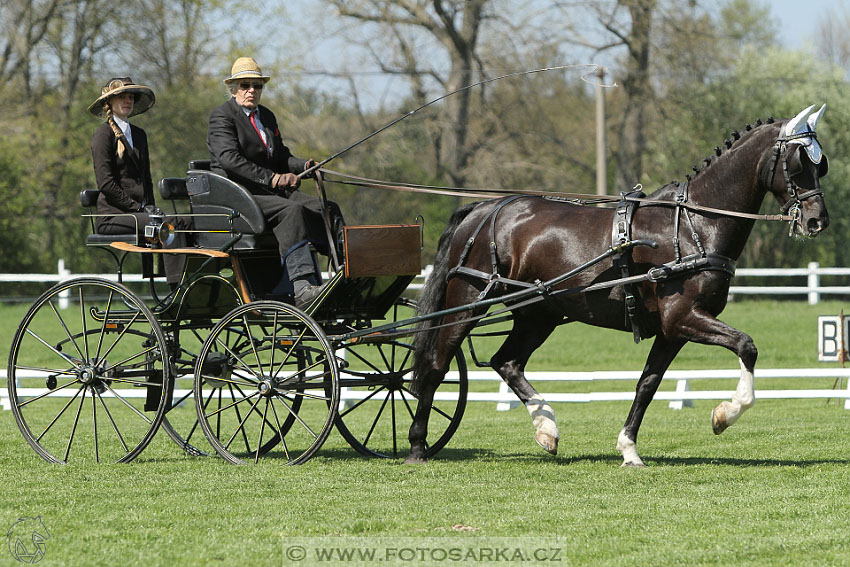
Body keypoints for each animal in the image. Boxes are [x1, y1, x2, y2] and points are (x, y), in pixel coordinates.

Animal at [404, 103, 828, 466]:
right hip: (469, 300)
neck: (695, 225)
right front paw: (725, 413)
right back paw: (418, 445)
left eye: (820, 165)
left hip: (538, 312)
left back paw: (546, 429)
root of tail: (482, 209)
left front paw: (629, 449)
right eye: (797, 163)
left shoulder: (671, 330)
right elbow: (746, 346)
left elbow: (647, 384)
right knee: (436, 364)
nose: (817, 221)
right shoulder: (684, 317)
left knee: (506, 362)